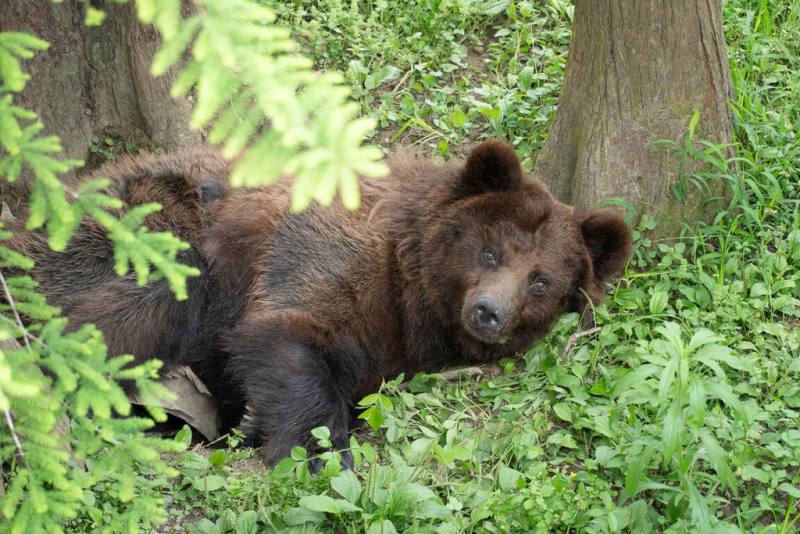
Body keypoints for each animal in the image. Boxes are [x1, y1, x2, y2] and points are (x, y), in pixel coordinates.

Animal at [7, 140, 632, 467]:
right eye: (490, 250)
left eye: (541, 280)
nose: (489, 312)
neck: (412, 293)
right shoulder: (320, 254)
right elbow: (286, 338)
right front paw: (316, 453)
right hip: (134, 232)